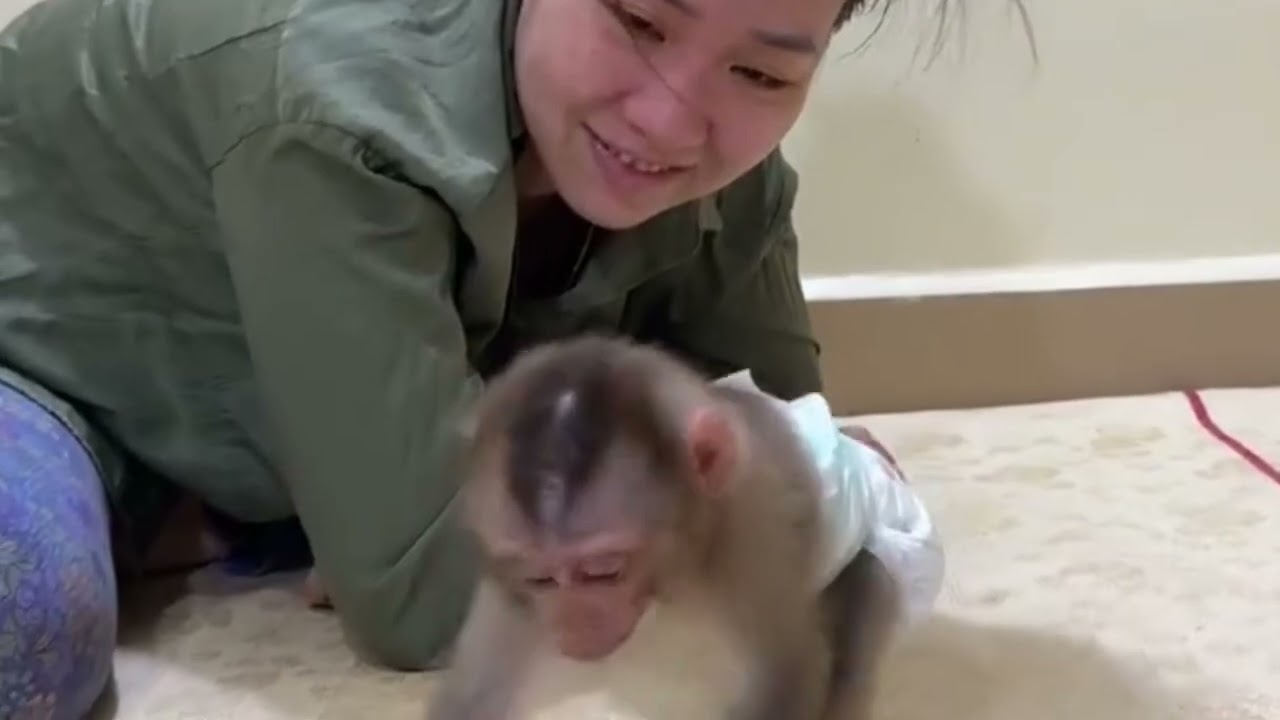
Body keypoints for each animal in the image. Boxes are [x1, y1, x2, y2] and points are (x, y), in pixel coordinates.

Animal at [426, 335, 906, 720]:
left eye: (604, 571)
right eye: (540, 578)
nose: (574, 626)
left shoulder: (752, 526)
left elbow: (791, 667)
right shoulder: (509, 587)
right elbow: (472, 697)